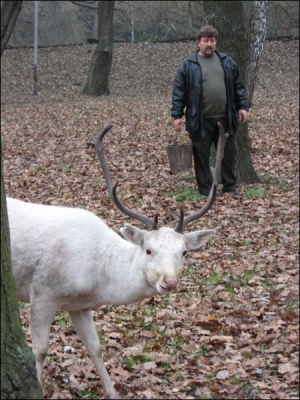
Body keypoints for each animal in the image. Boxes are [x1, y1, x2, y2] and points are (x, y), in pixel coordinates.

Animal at [6, 124, 227, 396]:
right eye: (148, 250)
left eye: (184, 252)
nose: (169, 282)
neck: (97, 280)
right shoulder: (42, 293)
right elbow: (39, 350)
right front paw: (39, 387)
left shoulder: (79, 306)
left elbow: (95, 348)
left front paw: (112, 392)